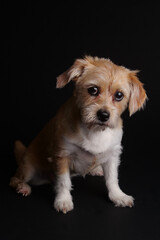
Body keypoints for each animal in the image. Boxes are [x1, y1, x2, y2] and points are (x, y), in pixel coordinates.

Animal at [10, 56, 147, 214]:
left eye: (119, 95)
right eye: (93, 90)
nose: (103, 115)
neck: (94, 131)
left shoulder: (113, 155)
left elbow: (112, 179)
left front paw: (118, 196)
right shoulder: (62, 155)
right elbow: (63, 181)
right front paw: (63, 200)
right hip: (29, 168)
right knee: (14, 179)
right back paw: (23, 187)